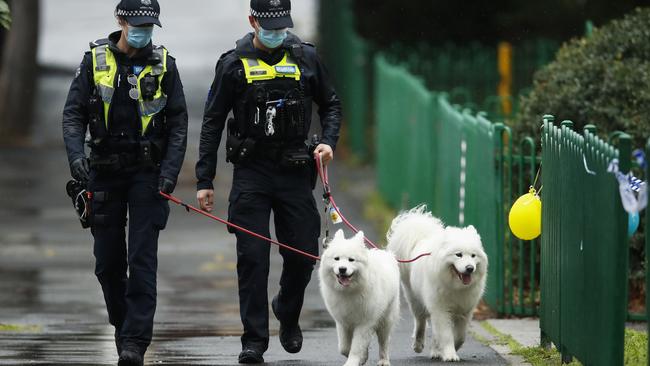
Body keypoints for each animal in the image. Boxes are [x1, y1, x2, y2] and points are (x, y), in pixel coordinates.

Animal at [316, 230, 398, 364]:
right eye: (336, 259)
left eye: (351, 260)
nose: (342, 269)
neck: (348, 291)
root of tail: (385, 253)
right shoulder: (343, 322)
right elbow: (344, 347)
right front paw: (362, 357)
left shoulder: (364, 323)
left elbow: (356, 346)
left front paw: (352, 362)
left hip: (386, 319)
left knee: (384, 342)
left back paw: (384, 361)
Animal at [384, 206, 486, 364]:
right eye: (458, 255)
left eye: (473, 256)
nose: (470, 268)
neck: (455, 286)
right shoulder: (441, 310)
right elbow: (446, 335)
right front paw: (450, 354)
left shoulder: (464, 311)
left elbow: (460, 336)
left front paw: (448, 349)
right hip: (415, 300)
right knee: (420, 322)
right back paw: (418, 345)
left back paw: (436, 350)